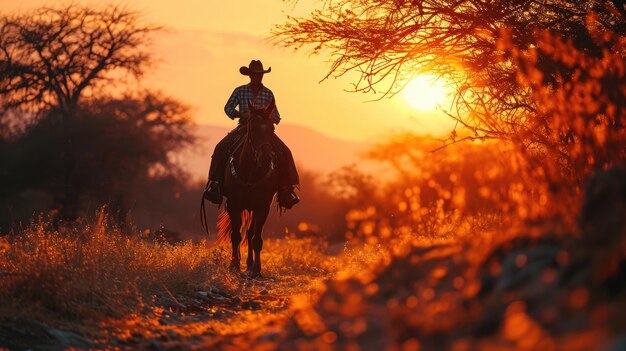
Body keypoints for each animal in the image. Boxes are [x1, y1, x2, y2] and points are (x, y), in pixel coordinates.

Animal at [213, 100, 276, 280]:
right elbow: (235, 236)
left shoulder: (262, 207)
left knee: (249, 233)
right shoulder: (234, 205)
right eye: (252, 128)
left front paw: (256, 269)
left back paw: (249, 266)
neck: (251, 173)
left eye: (272, 129)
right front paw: (234, 265)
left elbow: (256, 239)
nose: (266, 158)